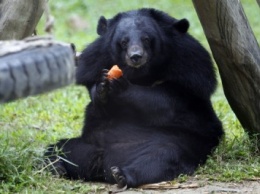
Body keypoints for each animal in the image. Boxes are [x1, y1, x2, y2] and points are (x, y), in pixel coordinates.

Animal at [45, 8, 223, 189]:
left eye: (146, 39)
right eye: (124, 41)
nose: (136, 56)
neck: (141, 74)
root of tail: (105, 164)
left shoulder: (190, 71)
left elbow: (164, 102)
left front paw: (120, 85)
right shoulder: (94, 61)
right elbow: (96, 99)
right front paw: (102, 86)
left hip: (180, 143)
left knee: (161, 157)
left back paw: (121, 175)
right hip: (87, 144)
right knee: (59, 148)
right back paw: (56, 166)